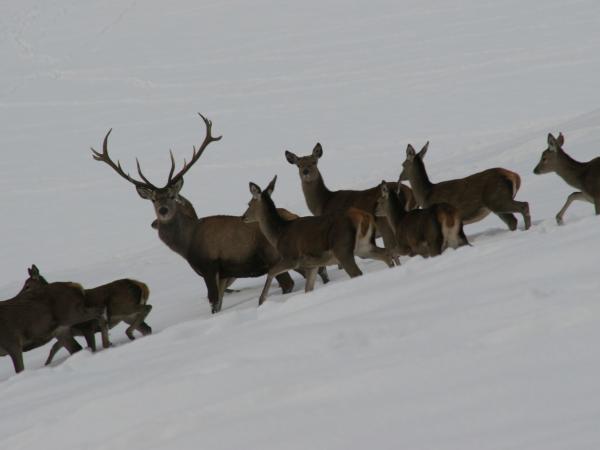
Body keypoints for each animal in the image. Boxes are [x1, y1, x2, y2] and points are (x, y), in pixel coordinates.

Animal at [20, 264, 154, 366]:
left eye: (27, 286)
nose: (20, 297)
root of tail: (141, 285)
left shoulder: (87, 327)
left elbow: (90, 348)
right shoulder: (69, 332)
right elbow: (54, 348)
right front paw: (46, 364)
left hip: (123, 307)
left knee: (148, 308)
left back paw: (129, 333)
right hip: (127, 316)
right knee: (146, 328)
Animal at [89, 114, 314, 314]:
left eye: (172, 195)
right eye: (154, 200)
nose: (163, 211)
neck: (188, 243)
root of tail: (294, 217)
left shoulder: (209, 266)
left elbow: (213, 303)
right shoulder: (223, 275)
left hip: (274, 256)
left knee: (289, 282)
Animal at [241, 176, 392, 306]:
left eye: (249, 203)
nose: (243, 217)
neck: (279, 233)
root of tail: (363, 216)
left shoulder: (291, 257)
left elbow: (271, 271)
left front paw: (261, 301)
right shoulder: (312, 264)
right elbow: (308, 289)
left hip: (342, 248)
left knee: (357, 272)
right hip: (363, 246)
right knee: (385, 253)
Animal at [286, 144, 418, 262]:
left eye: (314, 162)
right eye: (298, 165)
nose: (305, 172)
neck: (324, 203)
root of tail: (409, 193)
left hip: (386, 224)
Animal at [398, 142, 528, 232]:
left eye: (402, 164)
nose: (399, 177)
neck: (426, 195)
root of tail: (515, 176)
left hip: (497, 198)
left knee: (523, 206)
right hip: (496, 204)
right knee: (512, 221)